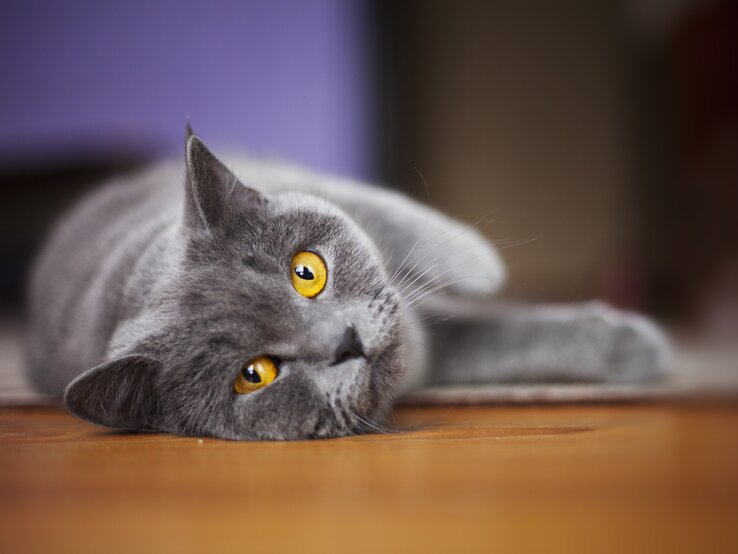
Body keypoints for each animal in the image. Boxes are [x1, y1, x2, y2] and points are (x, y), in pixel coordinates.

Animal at [24, 126, 668, 440]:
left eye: (307, 272)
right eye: (255, 374)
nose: (345, 341)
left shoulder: (312, 189)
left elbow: (387, 210)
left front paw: (481, 263)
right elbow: (504, 345)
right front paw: (642, 351)